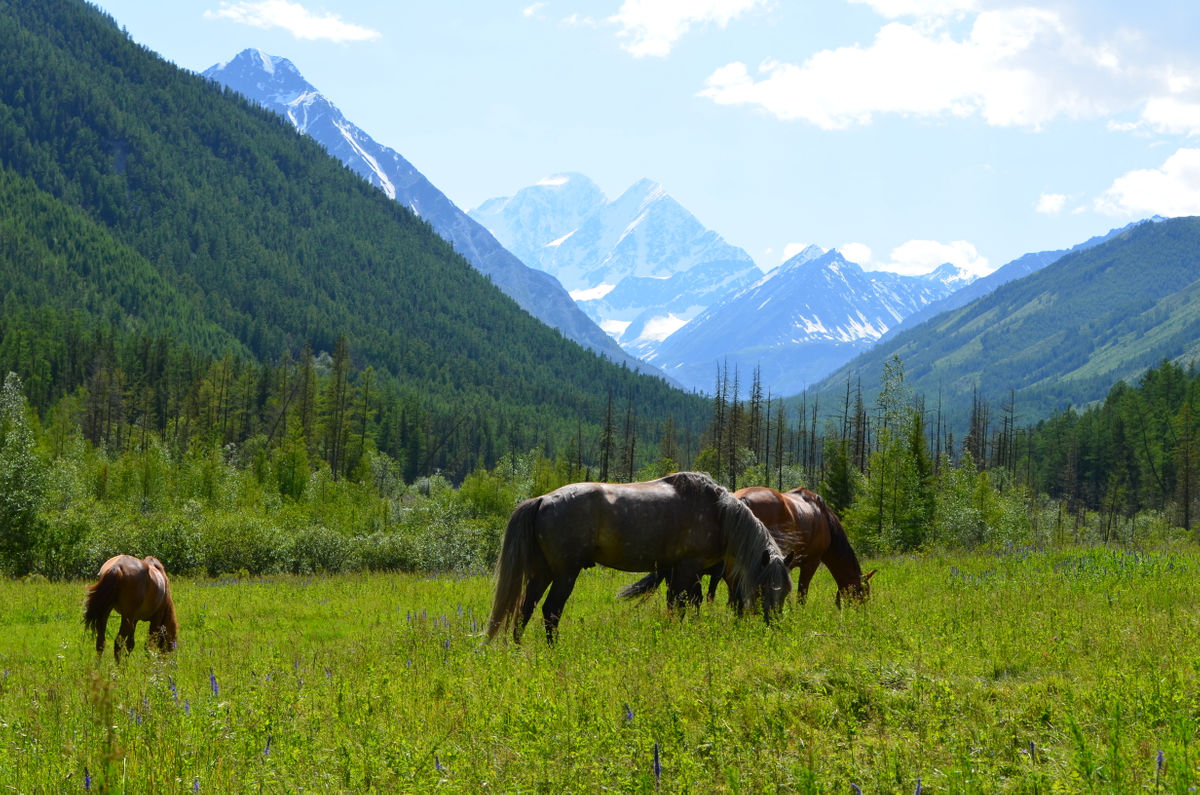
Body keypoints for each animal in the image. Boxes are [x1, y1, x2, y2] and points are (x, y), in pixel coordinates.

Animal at [482, 473, 792, 648]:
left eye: (786, 592)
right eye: (765, 588)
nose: (775, 627)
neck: (719, 512)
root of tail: (543, 499)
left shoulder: (677, 570)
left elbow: (682, 604)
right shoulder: (688, 568)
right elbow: (683, 605)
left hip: (543, 572)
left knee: (526, 608)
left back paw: (519, 648)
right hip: (565, 574)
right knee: (550, 610)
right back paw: (552, 651)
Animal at [619, 489, 873, 607]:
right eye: (864, 593)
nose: (861, 614)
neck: (823, 519)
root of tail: (739, 500)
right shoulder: (811, 562)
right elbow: (802, 593)